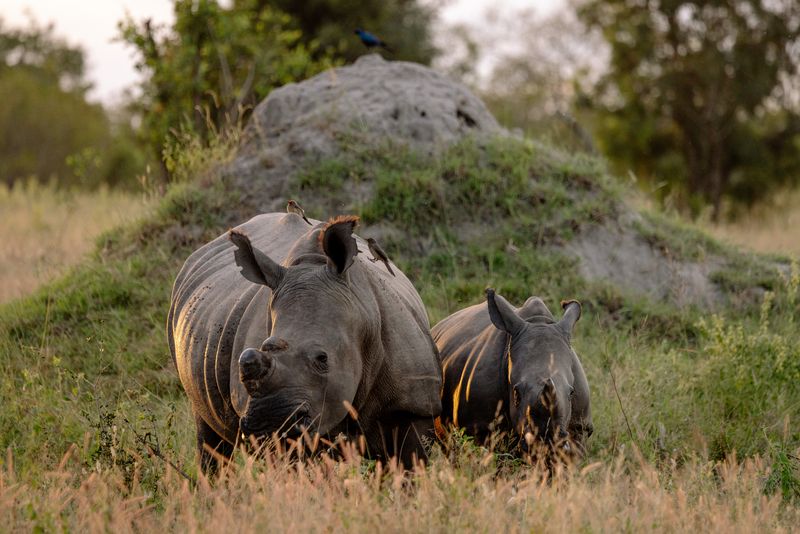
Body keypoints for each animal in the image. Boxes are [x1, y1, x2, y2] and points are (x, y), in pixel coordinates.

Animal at [167, 213, 442, 471]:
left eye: (322, 358)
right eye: (248, 359)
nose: (270, 424)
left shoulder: (413, 407)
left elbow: (409, 465)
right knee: (210, 438)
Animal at [432, 288, 592, 457]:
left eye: (571, 393)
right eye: (516, 393)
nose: (546, 443)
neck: (538, 322)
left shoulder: (580, 427)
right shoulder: (476, 426)